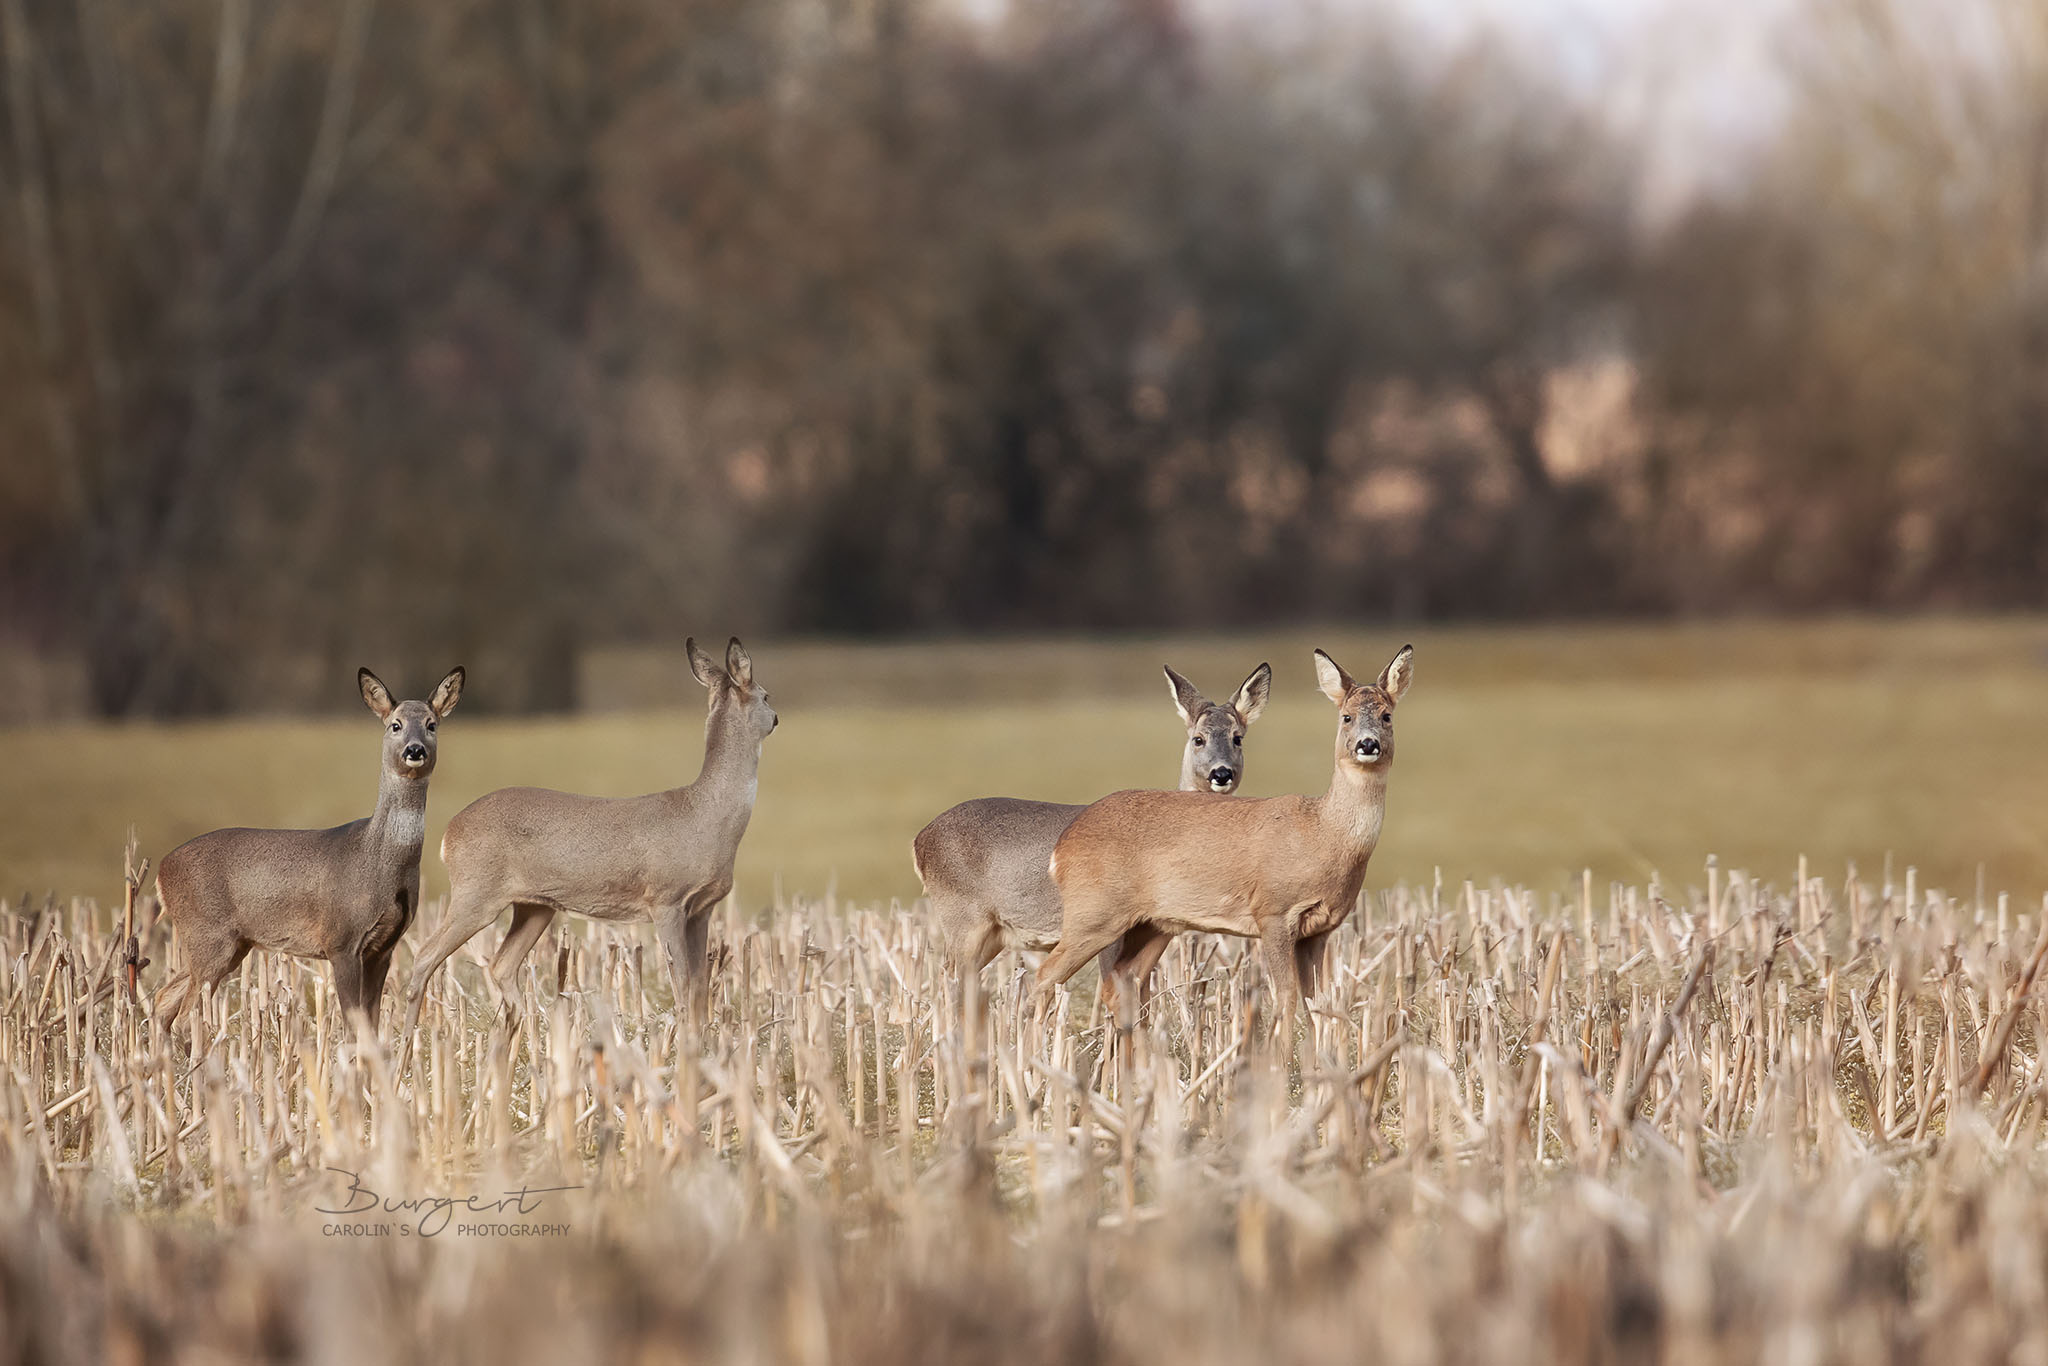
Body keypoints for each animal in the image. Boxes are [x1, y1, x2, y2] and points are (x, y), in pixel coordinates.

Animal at [150, 663, 464, 1036]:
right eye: (395, 725)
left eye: (431, 724)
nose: (414, 751)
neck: (378, 861)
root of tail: (161, 871)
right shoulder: (341, 939)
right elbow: (353, 1024)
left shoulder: (383, 947)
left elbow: (371, 1024)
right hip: (207, 935)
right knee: (185, 1016)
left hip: (227, 944)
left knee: (163, 1000)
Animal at [909, 655, 1261, 1011]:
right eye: (1198, 738)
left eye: (1238, 737)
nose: (1221, 773)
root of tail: (919, 841)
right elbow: (1113, 991)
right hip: (964, 920)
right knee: (948, 981)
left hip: (991, 935)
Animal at [1040, 643, 1409, 1036]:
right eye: (1346, 717)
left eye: (1387, 715)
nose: (1367, 744)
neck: (1322, 831)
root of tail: (1063, 846)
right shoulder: (1273, 911)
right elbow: (1285, 998)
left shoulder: (1320, 929)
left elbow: (1319, 1003)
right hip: (1093, 914)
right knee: (1046, 975)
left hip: (1151, 924)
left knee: (1123, 982)